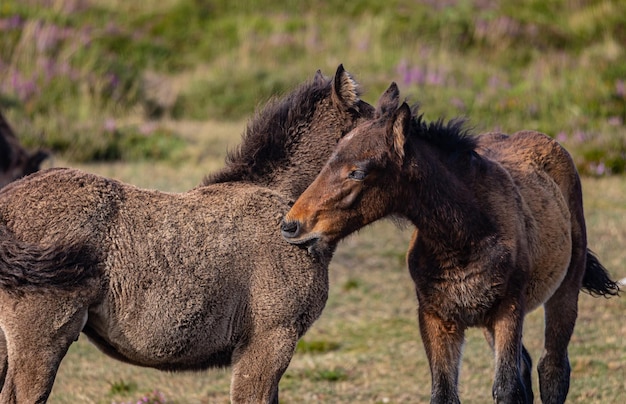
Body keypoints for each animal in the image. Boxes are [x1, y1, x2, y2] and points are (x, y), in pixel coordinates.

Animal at [282, 83, 620, 404]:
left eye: (358, 172)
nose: (291, 225)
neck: (462, 238)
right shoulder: (437, 317)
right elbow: (444, 393)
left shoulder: (509, 308)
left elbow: (506, 388)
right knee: (525, 364)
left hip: (565, 288)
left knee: (552, 367)